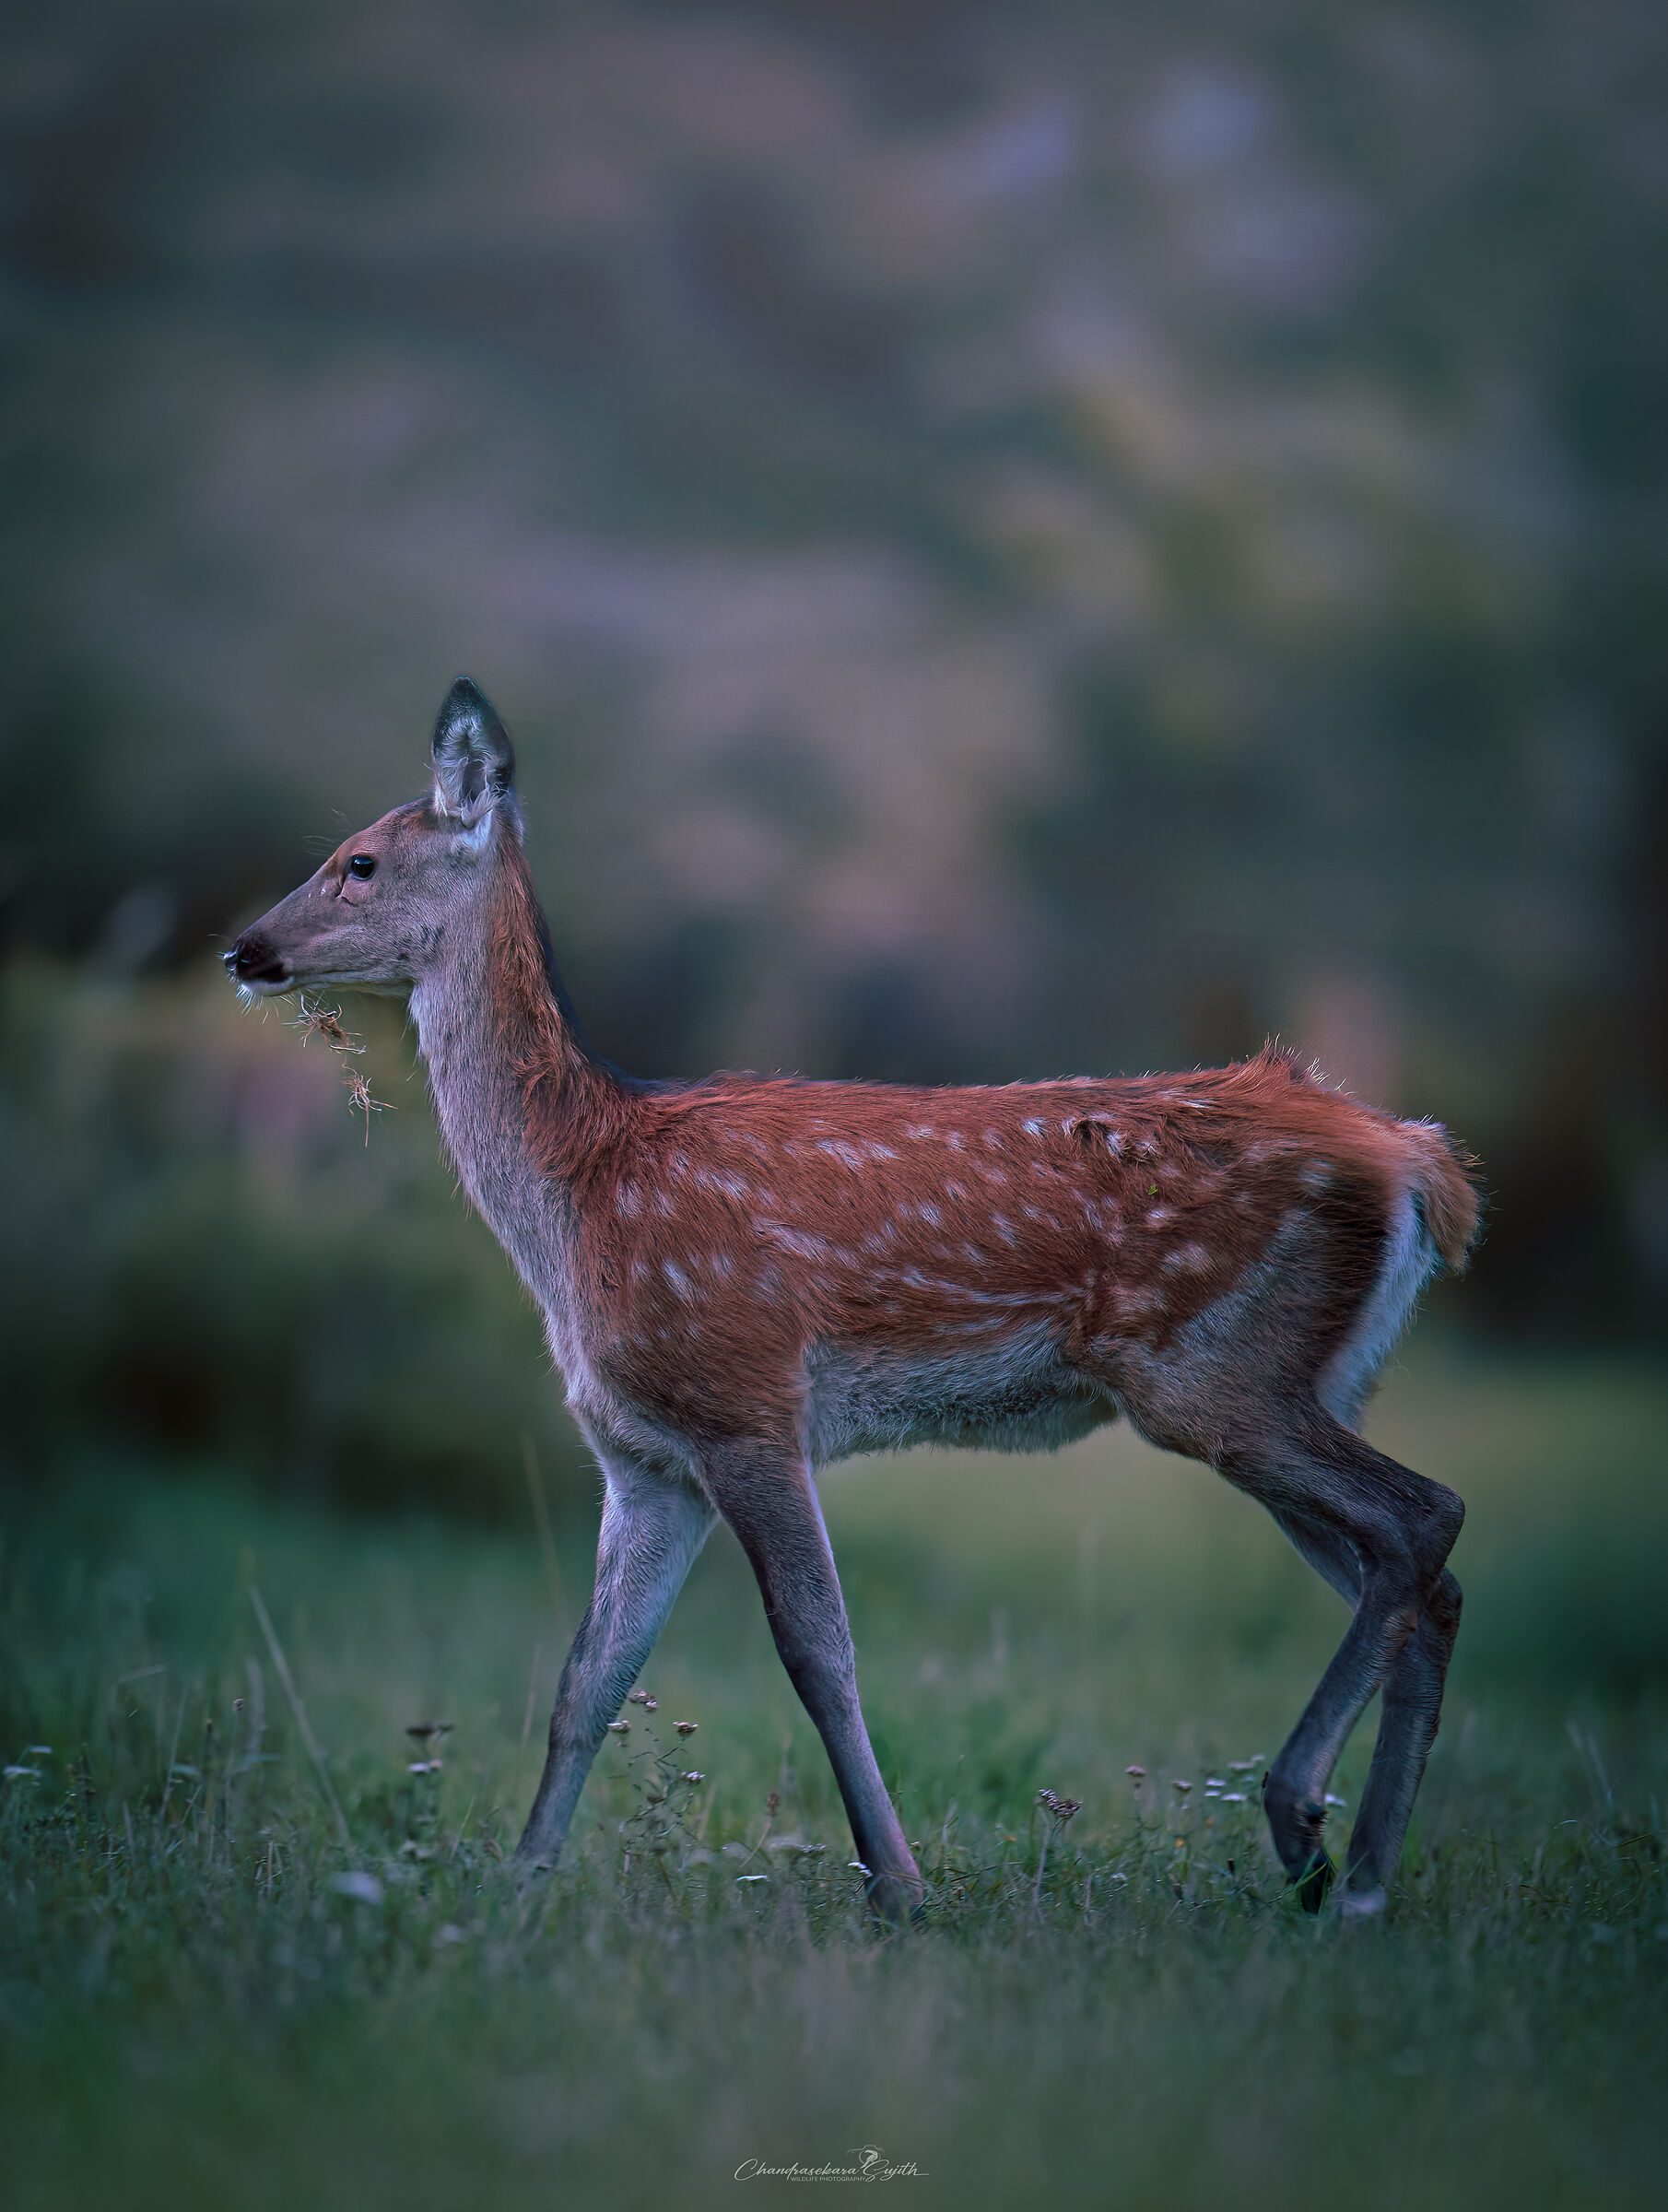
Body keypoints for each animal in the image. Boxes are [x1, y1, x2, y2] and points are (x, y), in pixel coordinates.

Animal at [225, 677, 1480, 1922]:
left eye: (357, 862)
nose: (244, 950)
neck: (581, 1196)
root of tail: (1421, 1163)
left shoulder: (743, 1401)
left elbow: (815, 1652)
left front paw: (899, 1884)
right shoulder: (643, 1458)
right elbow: (589, 1674)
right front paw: (522, 1883)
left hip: (1210, 1366)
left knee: (1424, 1516)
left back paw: (1302, 1822)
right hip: (1296, 1379)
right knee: (1422, 1574)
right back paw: (1363, 1879)